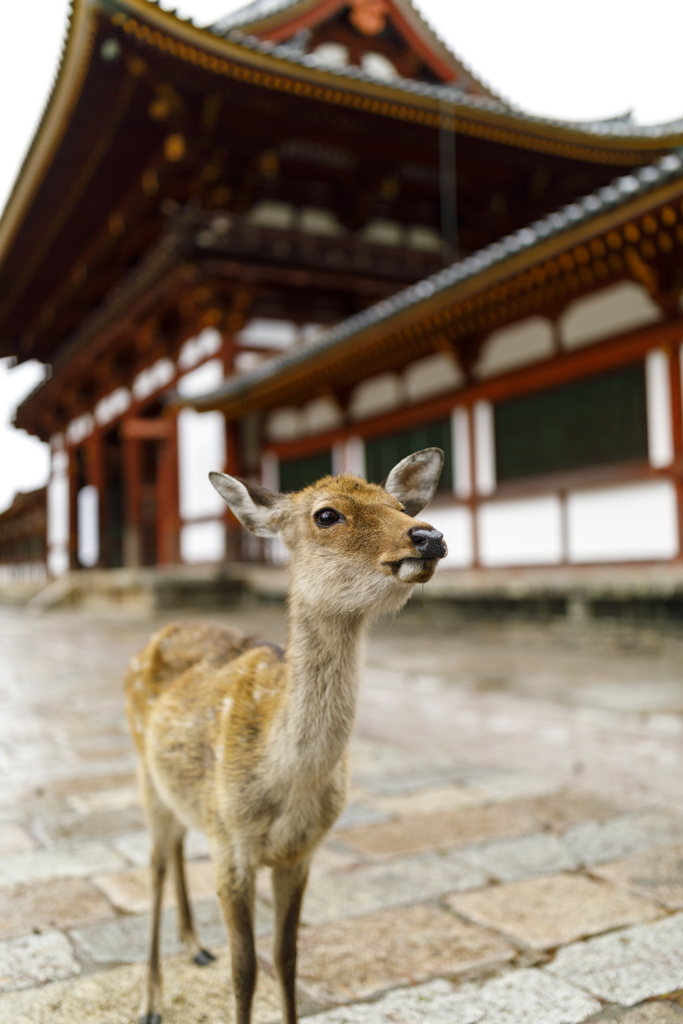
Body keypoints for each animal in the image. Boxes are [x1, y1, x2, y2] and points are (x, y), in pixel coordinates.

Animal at [124, 448, 448, 1024]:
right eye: (326, 515)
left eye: (398, 506)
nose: (428, 536)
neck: (287, 783)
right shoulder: (232, 843)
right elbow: (246, 969)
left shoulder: (301, 851)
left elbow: (288, 957)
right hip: (144, 774)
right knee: (156, 864)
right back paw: (152, 1000)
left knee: (179, 846)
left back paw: (195, 945)